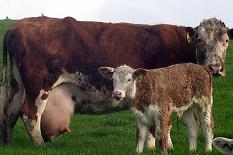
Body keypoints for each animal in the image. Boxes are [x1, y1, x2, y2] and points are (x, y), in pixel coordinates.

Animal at [0, 16, 232, 144]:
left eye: (226, 40)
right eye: (200, 39)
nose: (215, 67)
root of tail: (16, 26)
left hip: (18, 87)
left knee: (10, 113)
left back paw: (8, 143)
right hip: (39, 86)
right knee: (30, 116)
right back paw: (40, 146)